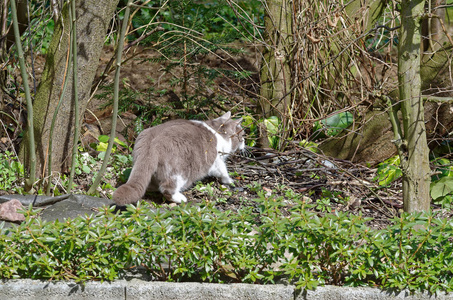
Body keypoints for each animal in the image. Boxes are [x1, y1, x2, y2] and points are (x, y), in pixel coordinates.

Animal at [113, 111, 245, 205]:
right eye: (242, 136)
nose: (245, 142)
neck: (217, 130)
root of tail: (152, 142)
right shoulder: (217, 160)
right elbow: (223, 171)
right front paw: (230, 180)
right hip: (180, 172)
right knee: (167, 188)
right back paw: (180, 198)